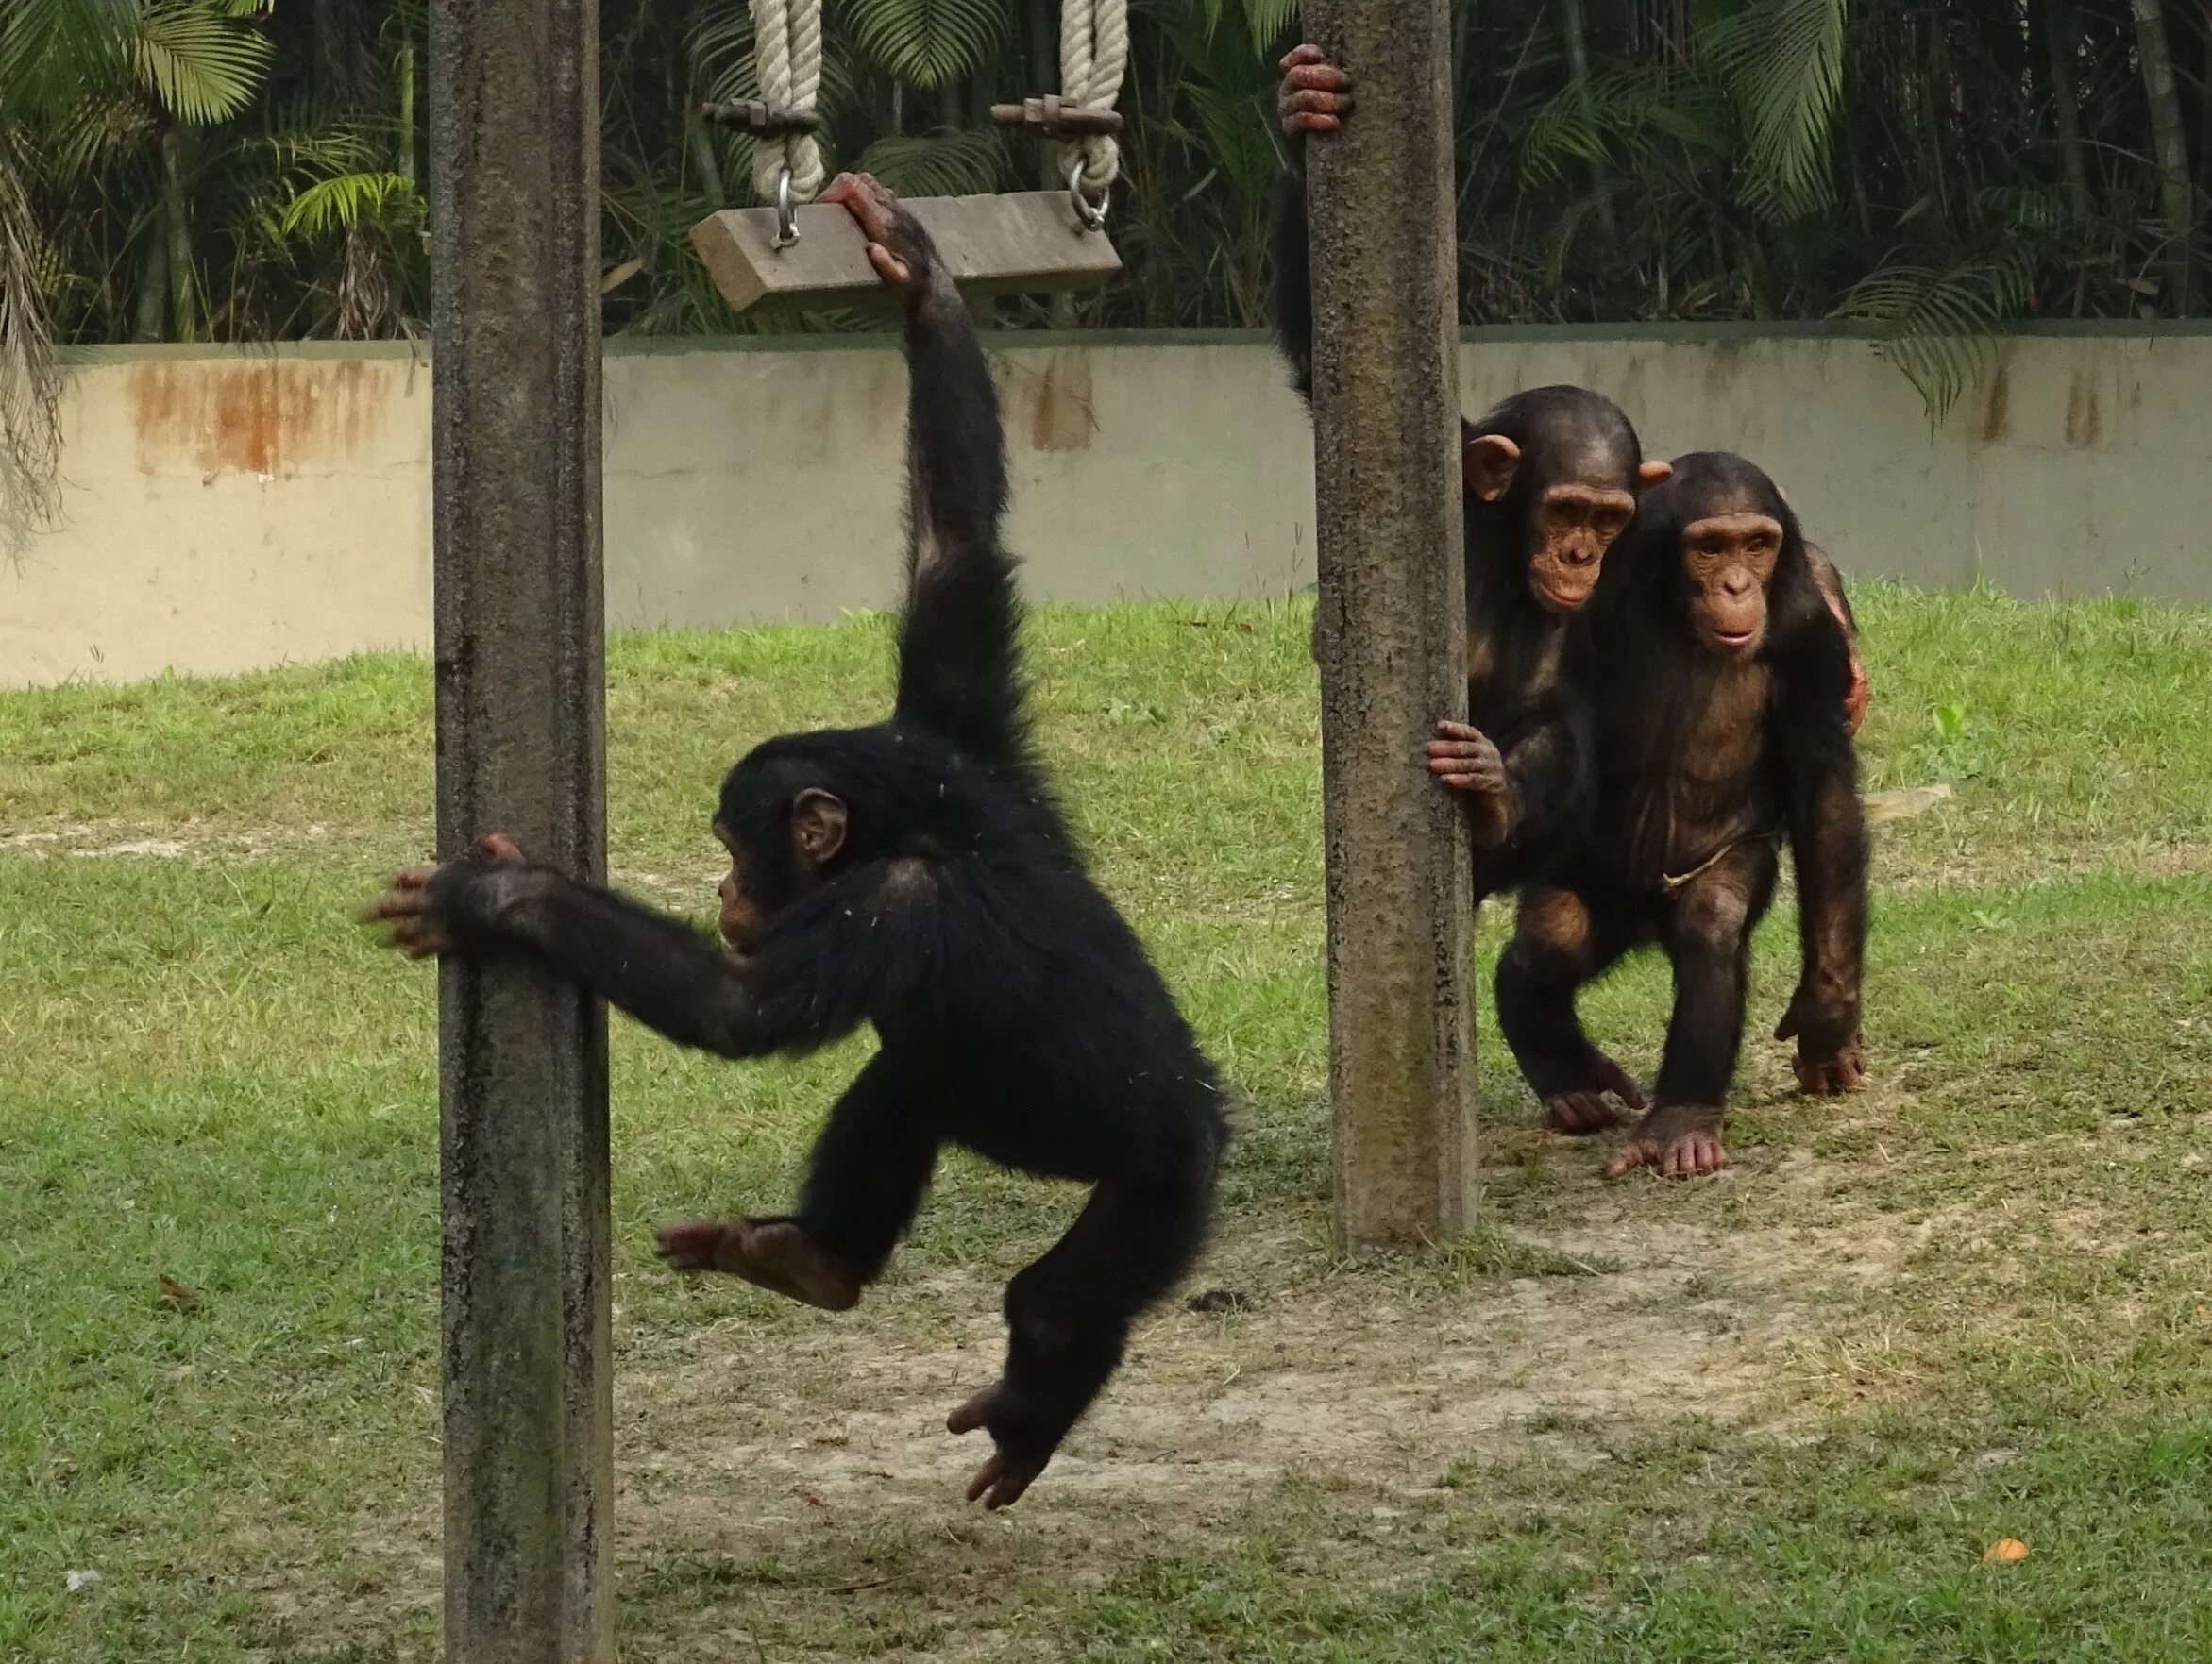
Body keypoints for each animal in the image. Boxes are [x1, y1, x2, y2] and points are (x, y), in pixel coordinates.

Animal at [363, 176, 1229, 1513]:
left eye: (732, 837)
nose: (724, 879)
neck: (905, 817)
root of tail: (1214, 1120)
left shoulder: (892, 905)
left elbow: (739, 1006)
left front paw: (496, 895)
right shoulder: (959, 730)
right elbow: (955, 540)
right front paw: (917, 277)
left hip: (1160, 1187)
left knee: (1053, 1297)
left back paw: (1028, 1410)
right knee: (903, 1080)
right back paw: (812, 1258)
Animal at [1504, 455, 1866, 1177]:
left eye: (1756, 545)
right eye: (1710, 548)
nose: (1736, 583)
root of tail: (1645, 917)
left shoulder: (1810, 641)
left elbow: (1824, 794)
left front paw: (1827, 1016)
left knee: (1708, 932)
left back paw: (1680, 1122)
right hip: (1588, 874)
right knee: (1552, 939)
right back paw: (1565, 1076)